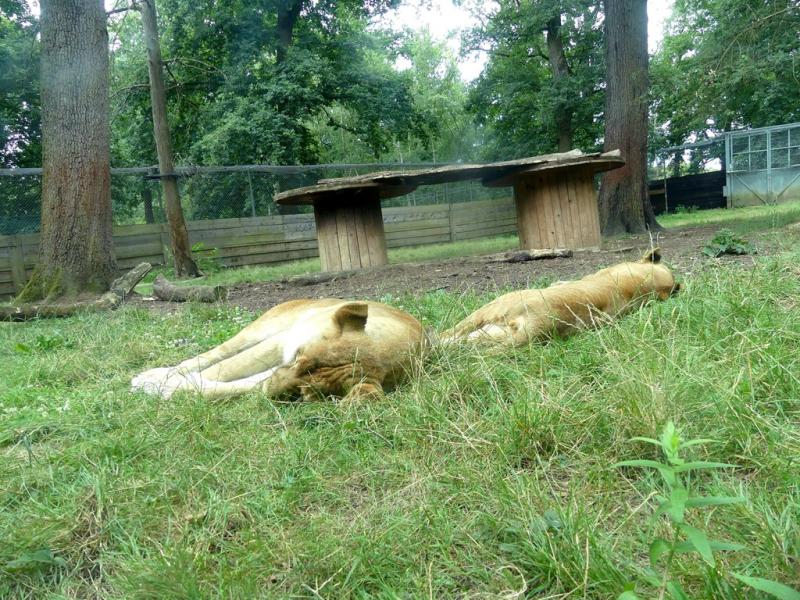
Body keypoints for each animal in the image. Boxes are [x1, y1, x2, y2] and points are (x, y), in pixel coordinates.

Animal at [131, 299, 424, 402]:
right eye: (299, 359)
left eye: (304, 393)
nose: (272, 392)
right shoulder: (283, 343)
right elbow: (222, 369)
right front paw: (161, 383)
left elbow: (227, 385)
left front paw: (170, 389)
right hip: (261, 331)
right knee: (211, 356)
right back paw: (157, 373)